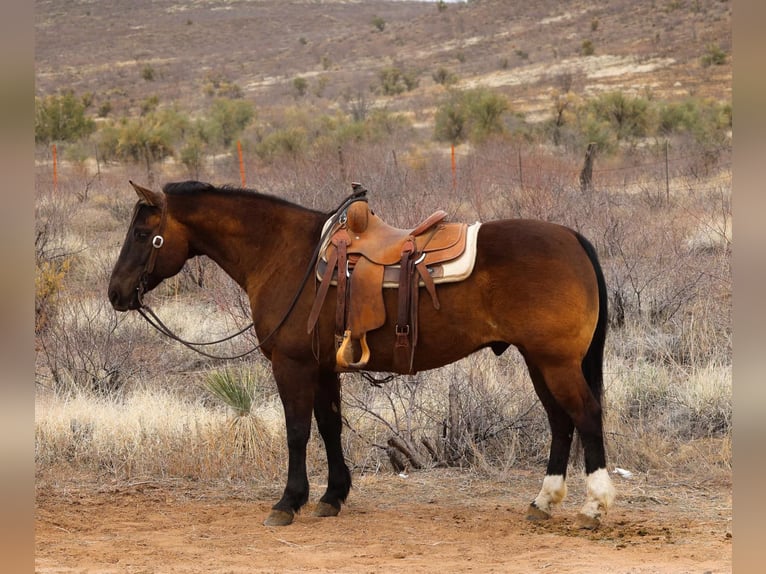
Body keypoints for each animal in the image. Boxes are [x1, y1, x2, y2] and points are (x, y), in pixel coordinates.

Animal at [108, 180, 616, 529]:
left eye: (142, 233)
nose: (115, 293)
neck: (285, 254)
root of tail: (573, 239)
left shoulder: (291, 366)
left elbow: (297, 432)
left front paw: (288, 501)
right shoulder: (322, 368)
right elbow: (330, 427)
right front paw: (332, 496)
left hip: (555, 363)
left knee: (585, 415)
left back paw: (594, 505)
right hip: (539, 361)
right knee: (561, 422)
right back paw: (544, 501)